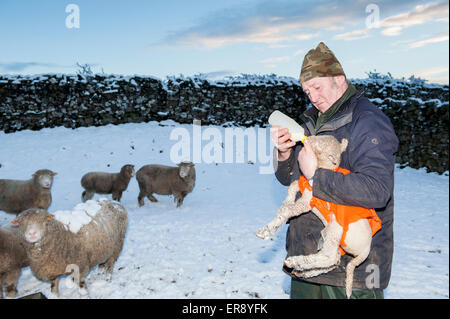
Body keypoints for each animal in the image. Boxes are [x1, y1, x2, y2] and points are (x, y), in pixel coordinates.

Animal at [256, 136, 380, 298]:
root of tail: (366, 250)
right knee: (334, 260)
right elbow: (292, 186)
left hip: (335, 229)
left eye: (320, 144)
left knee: (329, 256)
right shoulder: (303, 185)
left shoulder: (308, 201)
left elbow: (288, 210)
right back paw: (304, 272)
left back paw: (295, 262)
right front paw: (286, 202)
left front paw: (266, 231)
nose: (307, 138)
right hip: (337, 242)